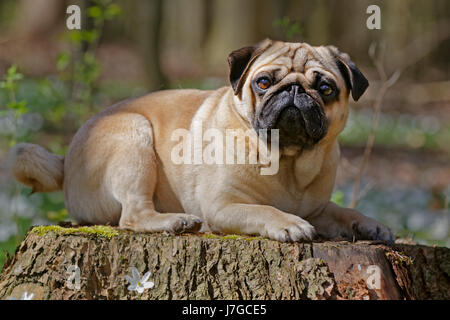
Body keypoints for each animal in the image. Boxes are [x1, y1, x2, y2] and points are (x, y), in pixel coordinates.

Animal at [7, 39, 394, 242]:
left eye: (325, 89)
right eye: (264, 83)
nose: (295, 91)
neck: (288, 161)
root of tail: (66, 160)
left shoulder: (319, 207)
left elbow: (344, 211)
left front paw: (370, 224)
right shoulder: (223, 206)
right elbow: (263, 209)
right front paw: (288, 222)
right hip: (134, 136)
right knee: (132, 215)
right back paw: (175, 222)